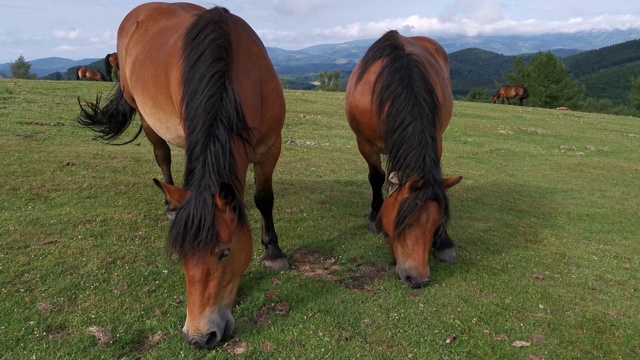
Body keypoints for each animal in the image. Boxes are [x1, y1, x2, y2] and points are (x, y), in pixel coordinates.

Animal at [75, 2, 288, 348]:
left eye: (224, 253)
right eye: (182, 258)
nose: (199, 337)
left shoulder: (272, 146)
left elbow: (263, 198)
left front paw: (273, 252)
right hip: (147, 116)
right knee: (162, 156)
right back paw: (170, 205)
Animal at [348, 31, 462, 290]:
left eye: (437, 225)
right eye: (405, 223)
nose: (419, 279)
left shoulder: (436, 138)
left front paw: (445, 243)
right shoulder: (365, 144)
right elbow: (376, 177)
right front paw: (376, 217)